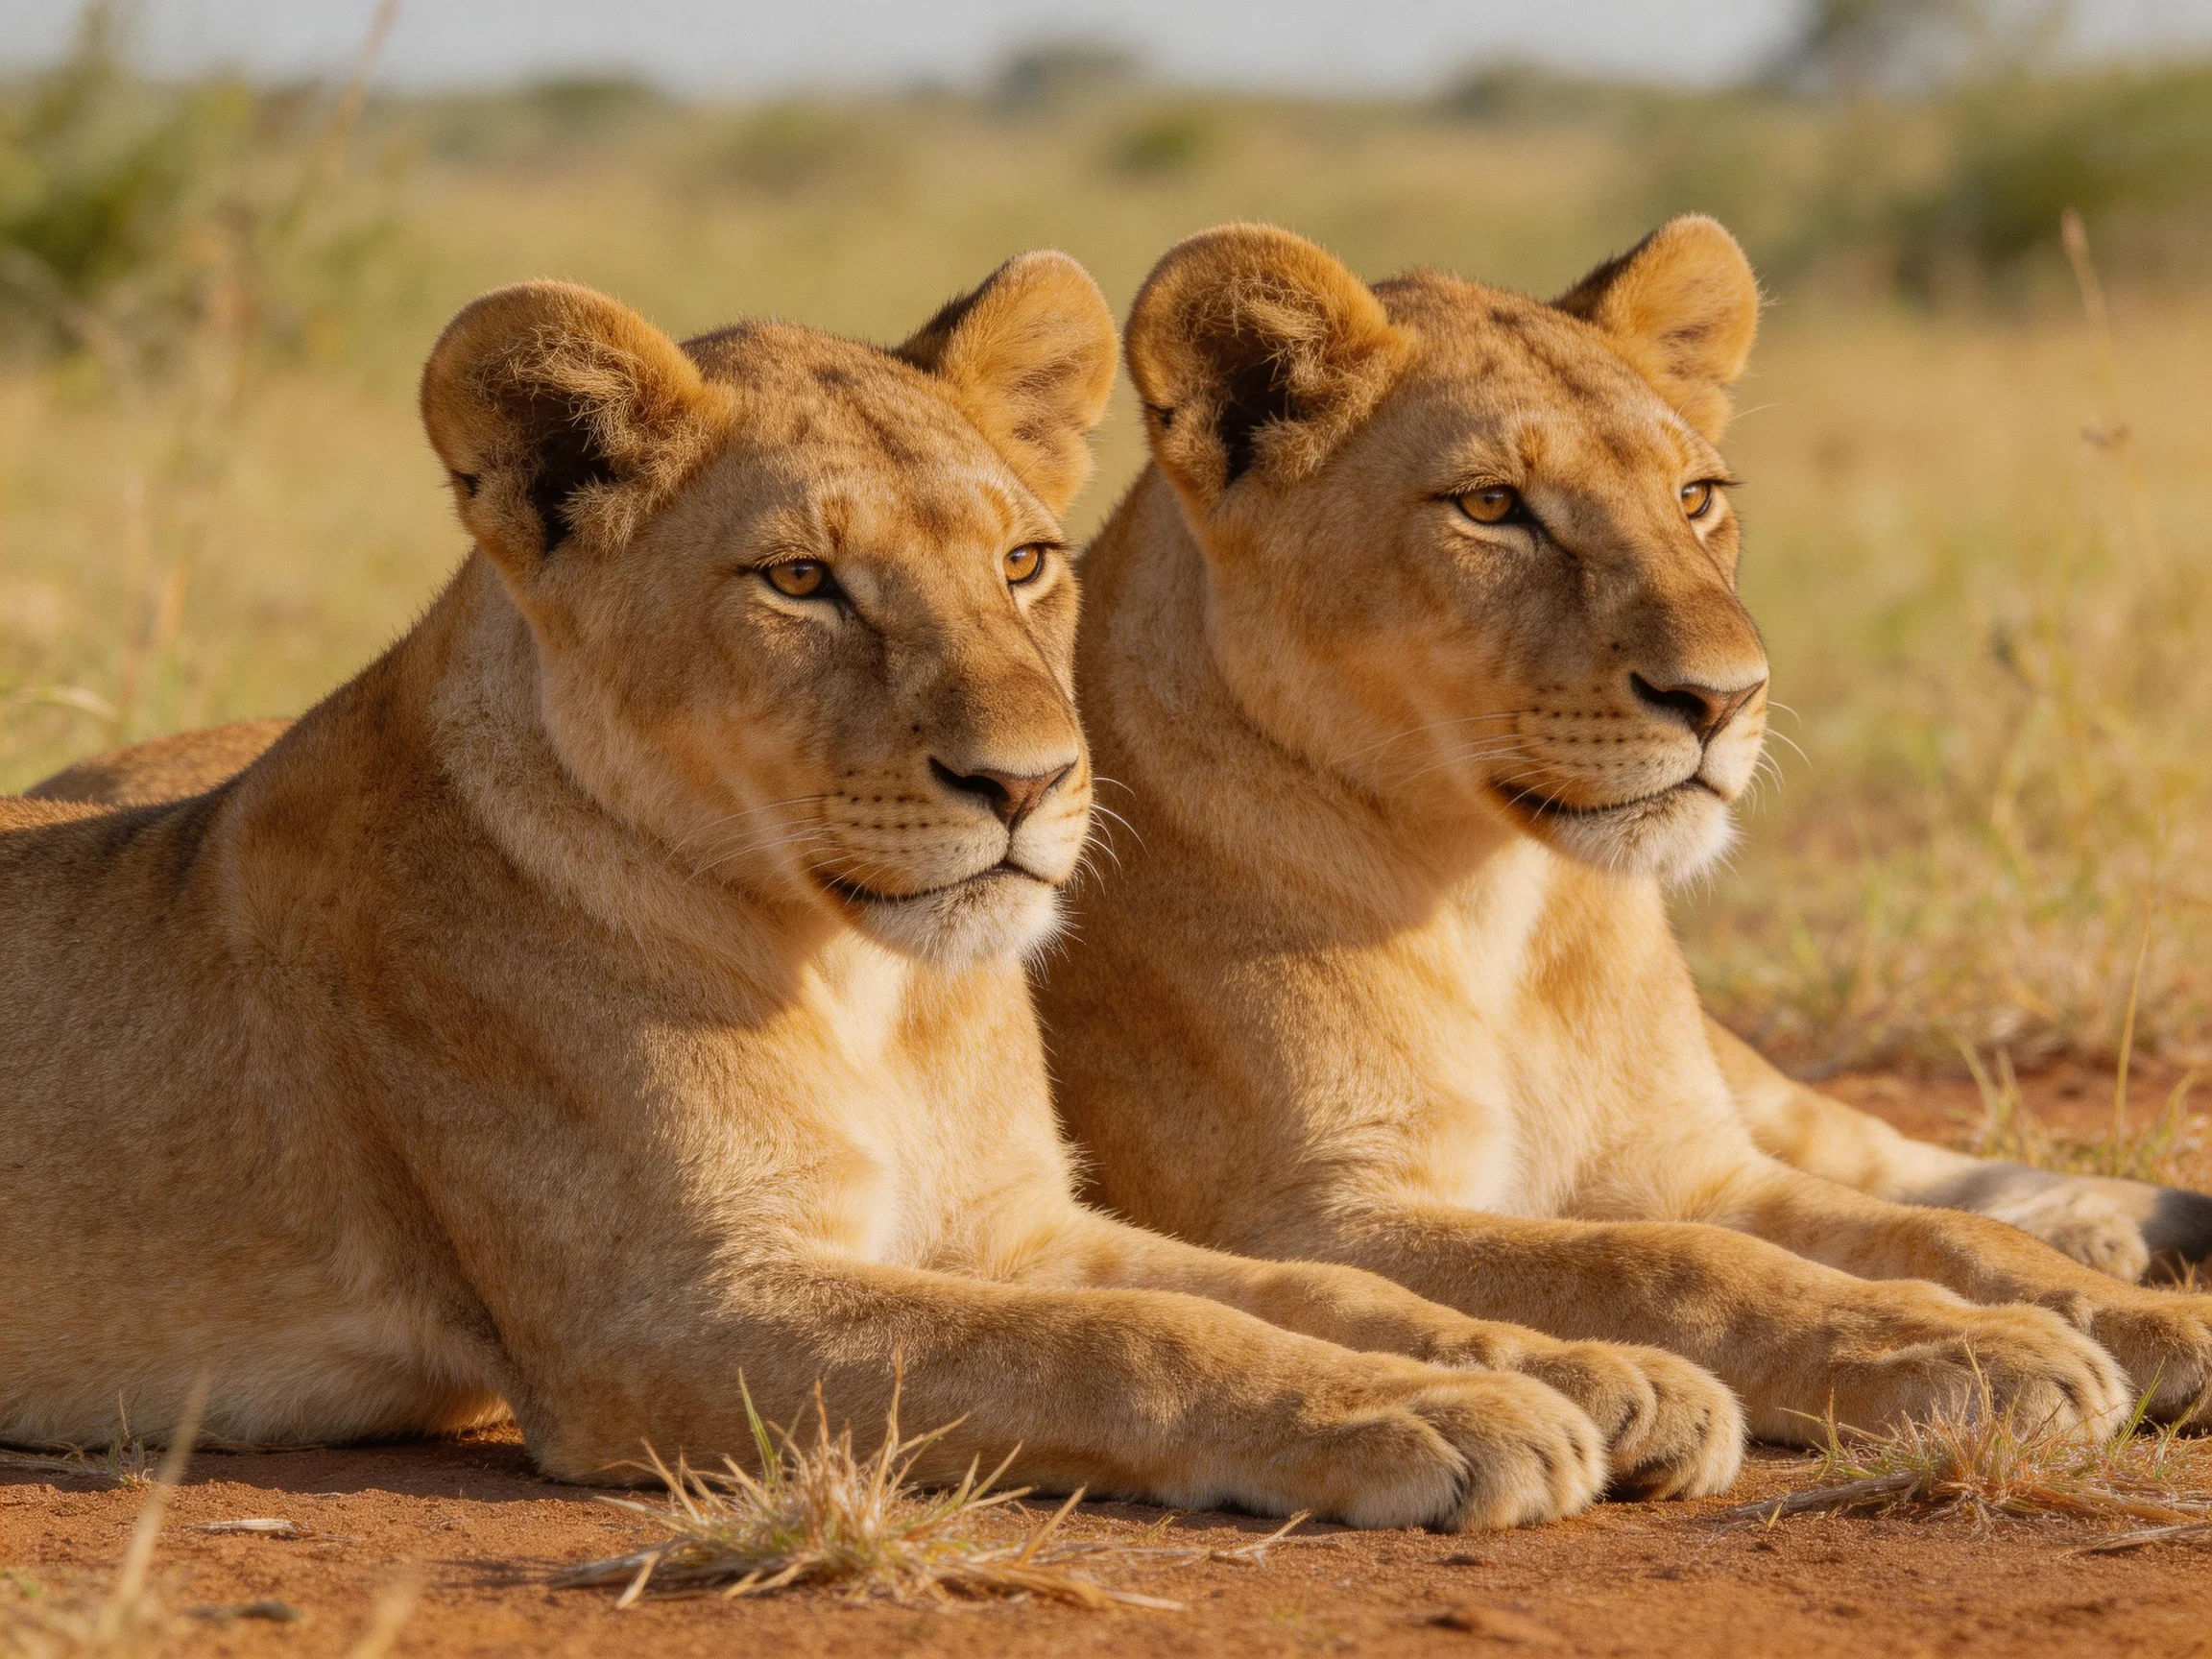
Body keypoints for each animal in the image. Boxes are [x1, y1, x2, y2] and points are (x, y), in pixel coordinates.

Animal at [0, 256, 1760, 1527]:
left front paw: (1580, 1371)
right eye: (800, 580)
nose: (1031, 785)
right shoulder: (674, 1316)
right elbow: (1126, 1341)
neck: (862, 979)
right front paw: (1423, 1412)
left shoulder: (1021, 1225)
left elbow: (1304, 1287)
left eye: (1024, 563)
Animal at [1031, 218, 2212, 1445]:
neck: (1491, 899)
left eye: (1694, 495)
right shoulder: (1311, 1219)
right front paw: (1975, 1344)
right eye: (1490, 507)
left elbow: (1937, 1233)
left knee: (1904, 1162)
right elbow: (1667, 1262)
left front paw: (2139, 1318)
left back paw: (2108, 1229)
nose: (1726, 698)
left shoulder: (1703, 1166)